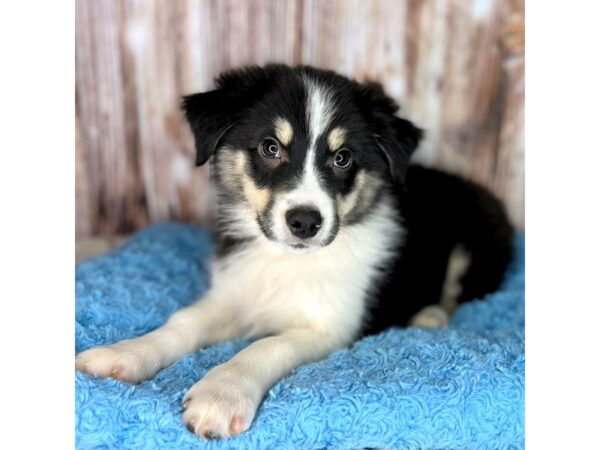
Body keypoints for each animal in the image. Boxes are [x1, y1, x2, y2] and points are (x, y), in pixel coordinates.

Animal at [77, 64, 512, 440]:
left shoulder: (331, 327)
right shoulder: (234, 293)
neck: (288, 260)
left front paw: (221, 394)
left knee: (460, 291)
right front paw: (123, 354)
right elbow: (183, 322)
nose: (305, 222)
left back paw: (430, 316)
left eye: (342, 158)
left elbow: (266, 345)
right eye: (271, 148)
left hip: (476, 243)